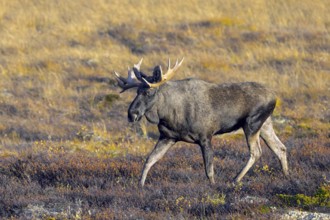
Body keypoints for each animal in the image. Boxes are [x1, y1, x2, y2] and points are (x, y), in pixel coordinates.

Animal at [115, 57, 288, 186]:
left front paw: (213, 186)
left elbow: (209, 170)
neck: (168, 114)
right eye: (137, 91)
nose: (131, 114)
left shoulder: (205, 136)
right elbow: (150, 160)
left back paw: (235, 179)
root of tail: (275, 97)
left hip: (251, 123)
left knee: (256, 151)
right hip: (265, 124)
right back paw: (286, 176)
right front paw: (140, 185)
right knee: (280, 148)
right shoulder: (168, 137)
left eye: (149, 92)